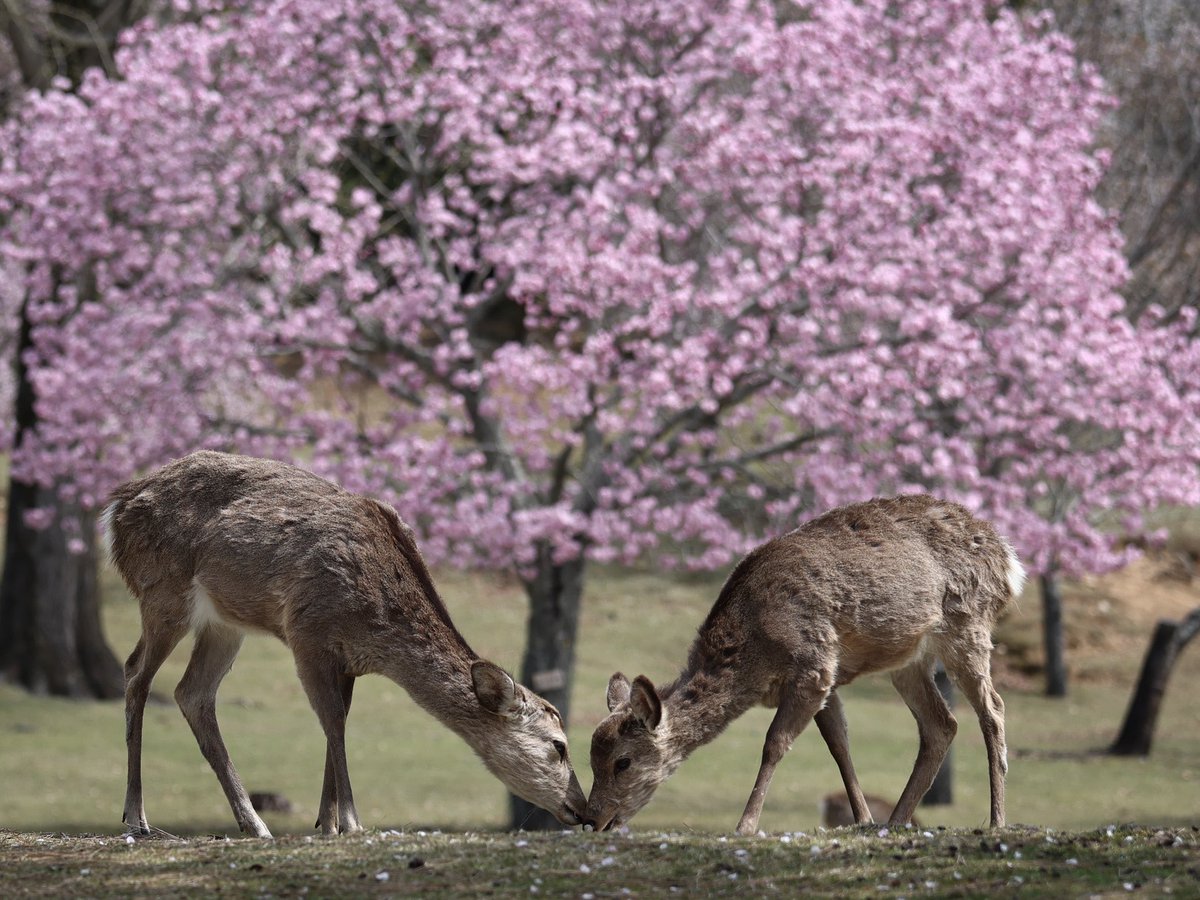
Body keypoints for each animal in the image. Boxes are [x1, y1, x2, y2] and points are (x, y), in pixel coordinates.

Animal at [104, 450, 586, 838]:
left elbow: (338, 722)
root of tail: (116, 506)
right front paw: (352, 822)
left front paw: (327, 822)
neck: (377, 629)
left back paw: (254, 823)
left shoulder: (349, 661)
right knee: (135, 674)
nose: (582, 808)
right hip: (162, 591)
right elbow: (333, 722)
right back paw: (136, 817)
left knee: (192, 692)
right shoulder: (307, 633)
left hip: (224, 623)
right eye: (558, 745)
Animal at [582, 494, 1024, 835]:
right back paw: (895, 820)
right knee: (941, 724)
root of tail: (1008, 558)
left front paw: (746, 825)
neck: (756, 656)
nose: (592, 819)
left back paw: (997, 820)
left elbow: (774, 743)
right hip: (908, 660)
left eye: (623, 761)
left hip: (968, 625)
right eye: (591, 758)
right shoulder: (828, 676)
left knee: (993, 709)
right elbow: (839, 744)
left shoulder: (813, 664)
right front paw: (863, 819)